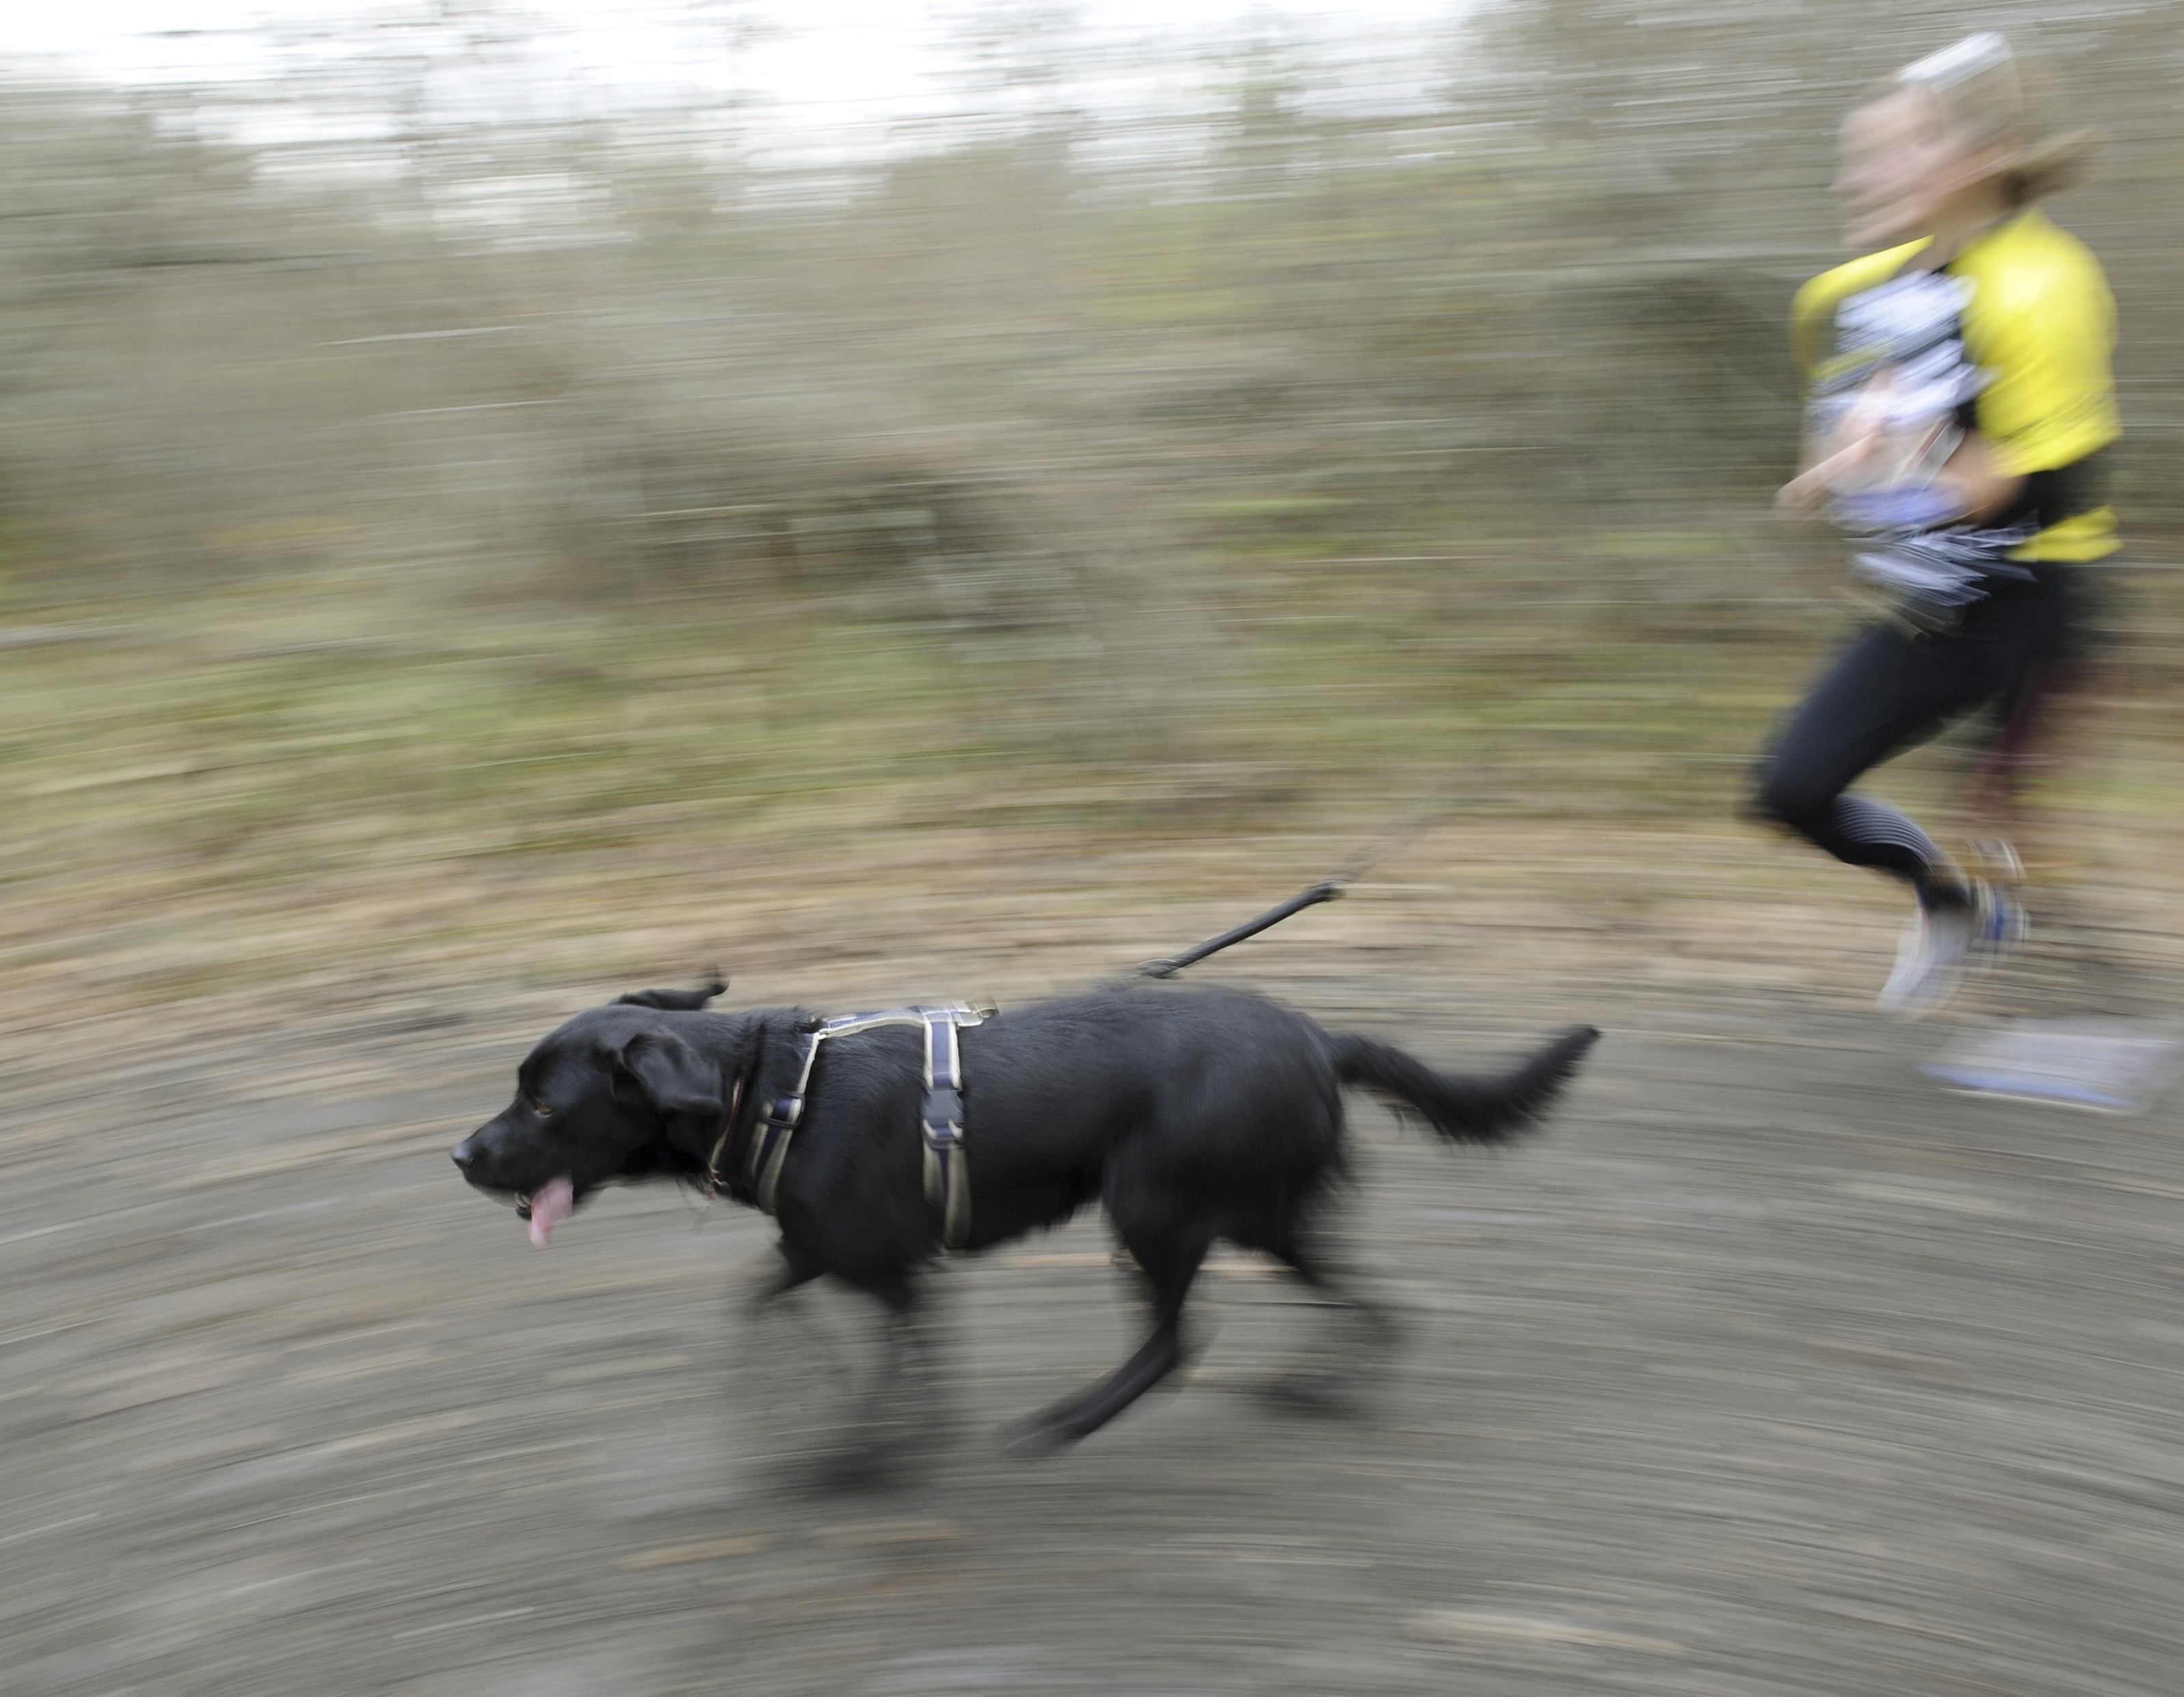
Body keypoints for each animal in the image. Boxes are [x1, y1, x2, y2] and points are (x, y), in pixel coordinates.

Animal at [452, 978, 1598, 1459]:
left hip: (1153, 1206)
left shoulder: (882, 1267)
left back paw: (1070, 1421)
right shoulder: (836, 1253)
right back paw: (1321, 1384)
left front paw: (851, 1457)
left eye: (543, 1103)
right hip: (1261, 1214)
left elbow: (875, 1373)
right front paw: (815, 1400)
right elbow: (770, 1311)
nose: (460, 1155)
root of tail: (1321, 1037)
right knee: (1371, 1299)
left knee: (1175, 1340)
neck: (774, 1090)